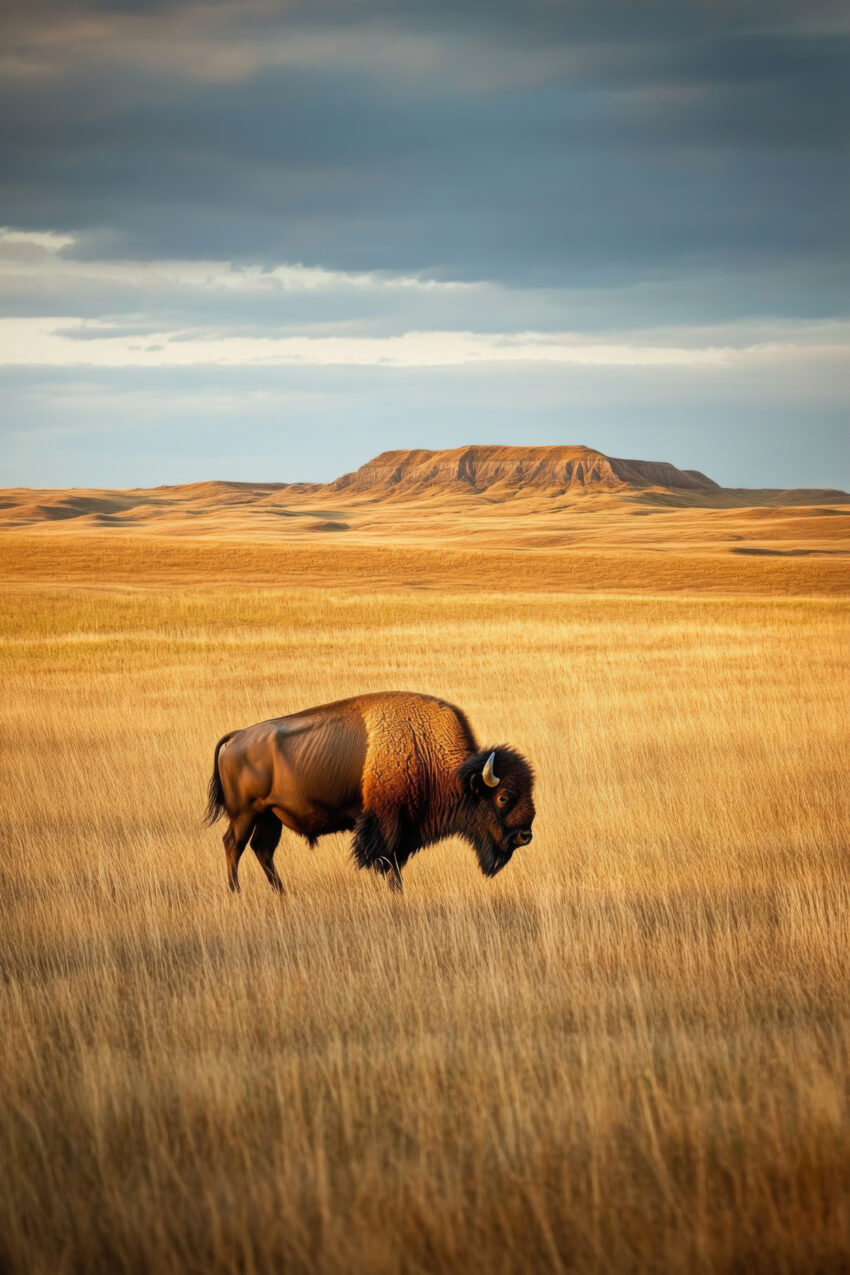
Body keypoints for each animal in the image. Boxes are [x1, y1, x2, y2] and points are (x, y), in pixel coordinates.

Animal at [204, 690, 535, 893]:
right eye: (503, 797)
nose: (525, 836)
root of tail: (238, 737)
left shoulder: (405, 830)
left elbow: (396, 862)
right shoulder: (386, 822)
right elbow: (386, 861)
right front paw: (394, 891)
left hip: (269, 817)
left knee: (263, 850)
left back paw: (281, 893)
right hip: (245, 813)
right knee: (233, 844)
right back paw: (236, 891)